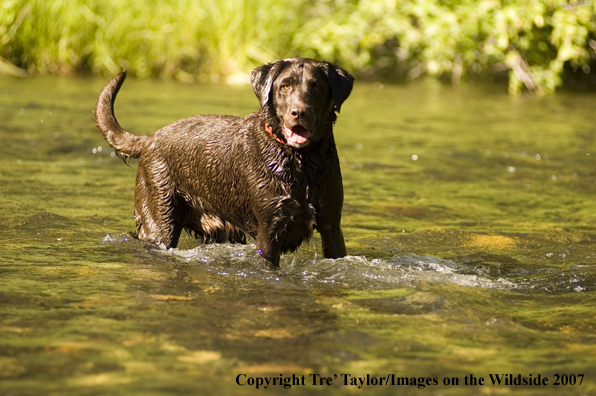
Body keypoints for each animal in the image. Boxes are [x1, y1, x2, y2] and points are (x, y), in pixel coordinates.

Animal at [95, 58, 352, 266]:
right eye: (285, 86)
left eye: (316, 87)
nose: (299, 112)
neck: (302, 163)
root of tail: (149, 139)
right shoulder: (269, 230)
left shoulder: (331, 224)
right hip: (159, 221)